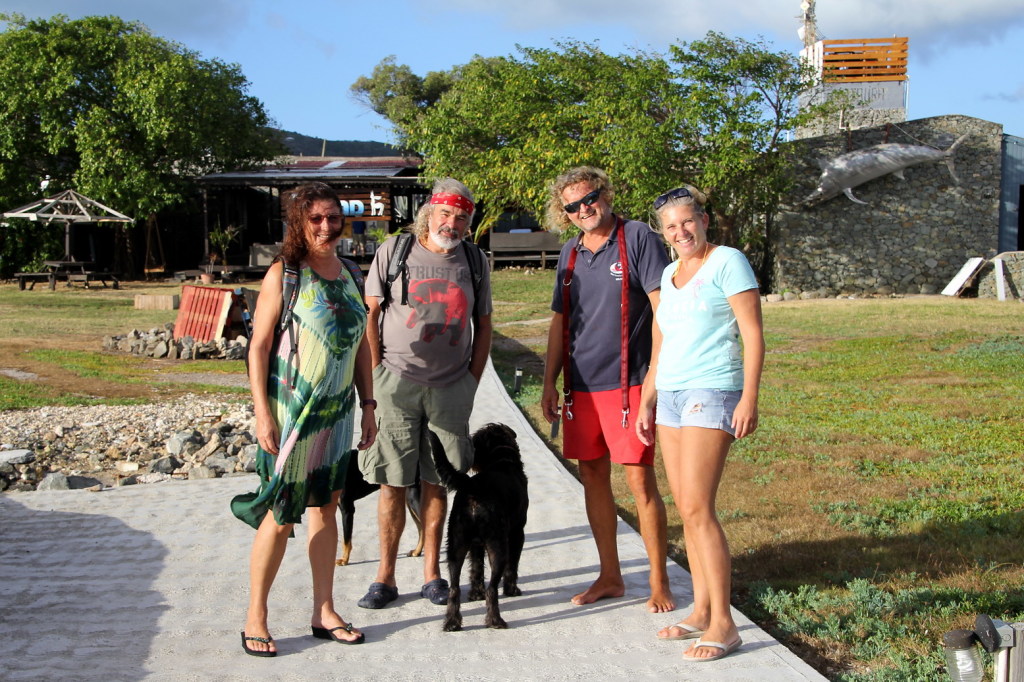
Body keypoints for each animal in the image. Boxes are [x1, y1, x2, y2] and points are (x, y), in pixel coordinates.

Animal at [430, 421, 532, 630]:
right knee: (492, 588)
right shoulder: (517, 533)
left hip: (456, 544)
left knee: (454, 588)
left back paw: (452, 622)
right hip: (498, 545)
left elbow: (476, 567)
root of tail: (473, 488)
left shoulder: (475, 544)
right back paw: (495, 621)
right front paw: (511, 590)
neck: (502, 460)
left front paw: (476, 593)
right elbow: (513, 565)